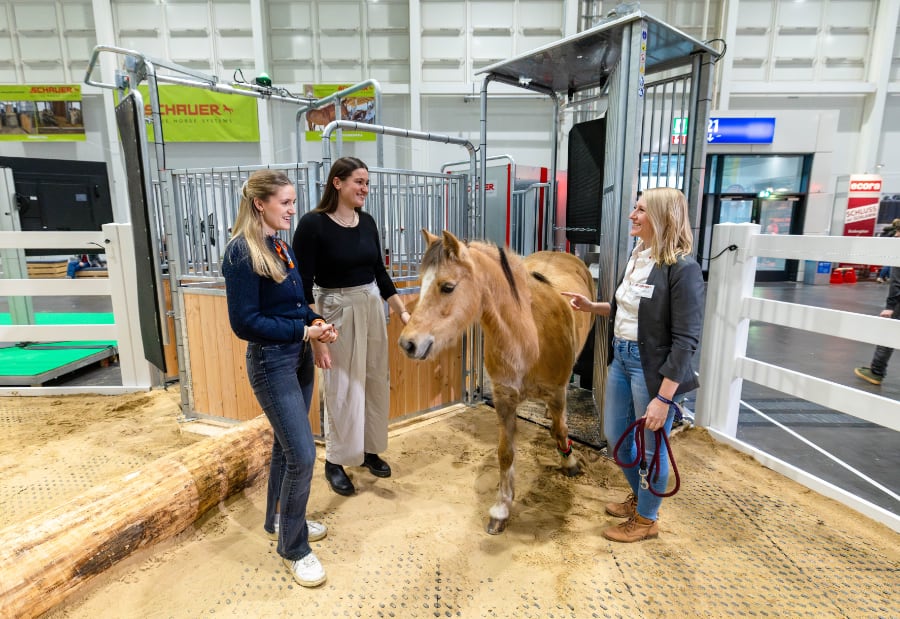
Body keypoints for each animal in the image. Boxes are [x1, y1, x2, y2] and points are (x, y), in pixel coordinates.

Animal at [398, 230, 595, 534]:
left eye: (447, 287)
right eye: (421, 285)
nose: (408, 343)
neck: (528, 335)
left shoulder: (557, 393)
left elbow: (561, 430)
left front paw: (570, 463)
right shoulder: (504, 399)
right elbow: (505, 453)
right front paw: (501, 509)